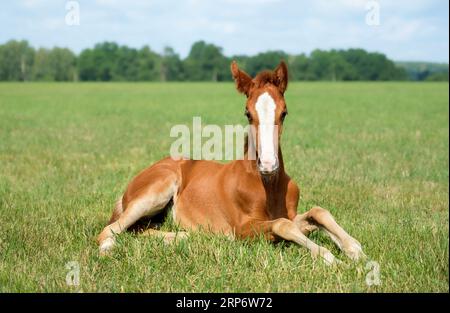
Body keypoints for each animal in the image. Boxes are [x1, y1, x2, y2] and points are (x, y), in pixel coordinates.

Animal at [96, 60, 364, 264]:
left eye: (284, 112)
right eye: (248, 113)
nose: (268, 165)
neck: (268, 186)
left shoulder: (291, 214)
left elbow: (317, 213)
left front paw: (354, 249)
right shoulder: (243, 227)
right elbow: (283, 226)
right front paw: (330, 257)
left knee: (140, 230)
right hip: (158, 189)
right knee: (111, 230)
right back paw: (107, 248)